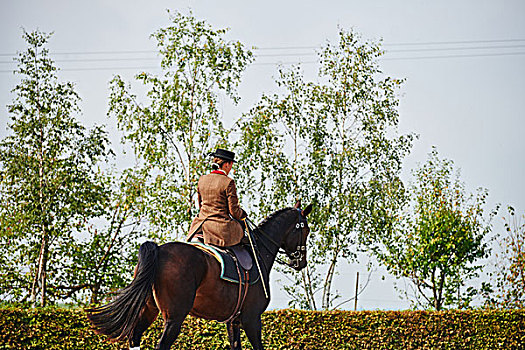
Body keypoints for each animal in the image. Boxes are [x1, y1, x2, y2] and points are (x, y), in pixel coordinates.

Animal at [86, 202, 312, 350]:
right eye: (306, 230)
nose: (300, 262)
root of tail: (159, 249)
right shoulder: (251, 319)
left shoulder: (234, 321)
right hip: (174, 317)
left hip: (148, 309)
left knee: (135, 336)